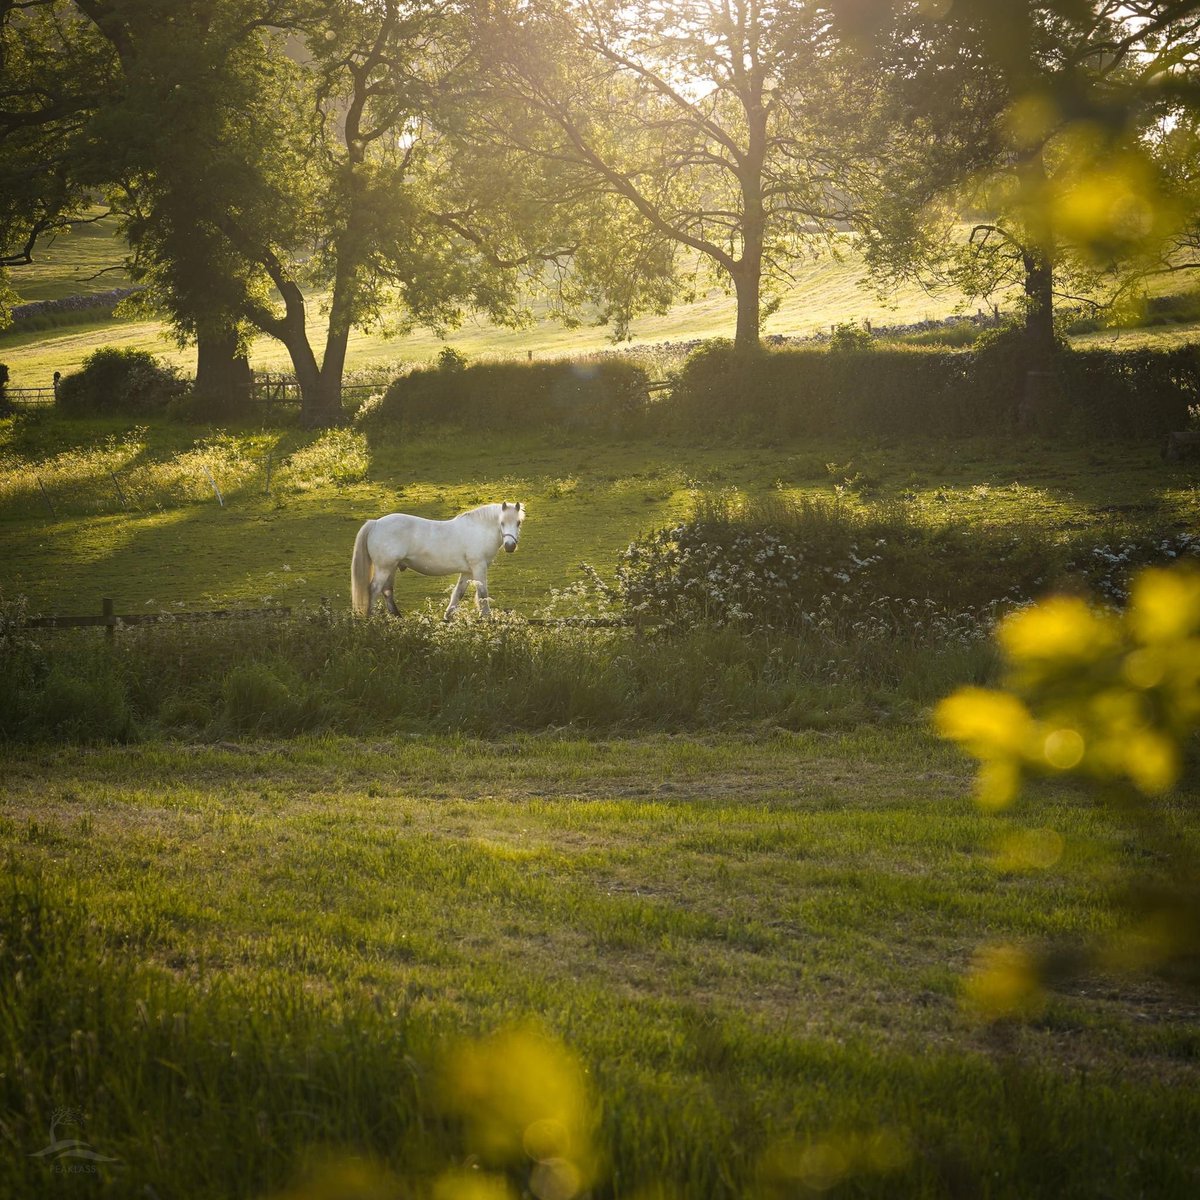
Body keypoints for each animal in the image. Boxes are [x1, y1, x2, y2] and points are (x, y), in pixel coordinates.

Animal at [350, 504, 523, 624]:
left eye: (518, 522)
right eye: (501, 522)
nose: (510, 546)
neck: (479, 530)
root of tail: (375, 523)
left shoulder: (467, 571)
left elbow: (458, 593)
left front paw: (448, 616)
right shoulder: (478, 567)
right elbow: (482, 593)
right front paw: (487, 617)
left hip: (391, 568)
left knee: (387, 591)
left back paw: (398, 617)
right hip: (384, 568)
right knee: (374, 589)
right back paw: (371, 617)